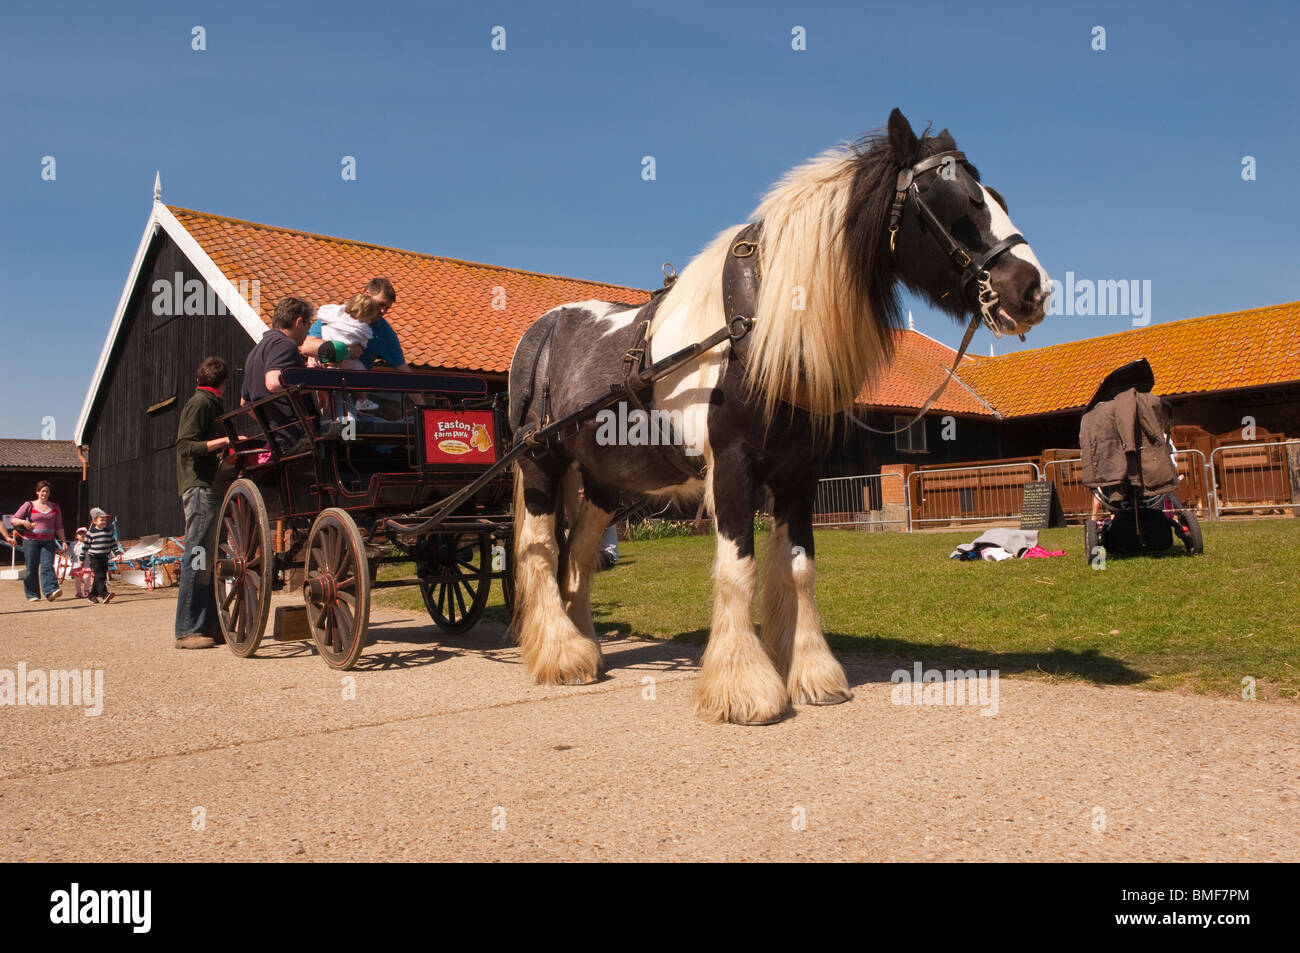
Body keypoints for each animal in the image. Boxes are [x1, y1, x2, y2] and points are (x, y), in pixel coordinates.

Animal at [504, 109, 1045, 722]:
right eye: (959, 204)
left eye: (996, 197)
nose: (1034, 290)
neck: (756, 328)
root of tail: (540, 333)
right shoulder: (733, 468)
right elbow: (739, 568)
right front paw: (745, 689)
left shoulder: (799, 474)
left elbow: (799, 569)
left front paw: (811, 673)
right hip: (539, 463)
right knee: (542, 550)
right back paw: (559, 656)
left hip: (602, 482)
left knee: (580, 554)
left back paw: (585, 650)